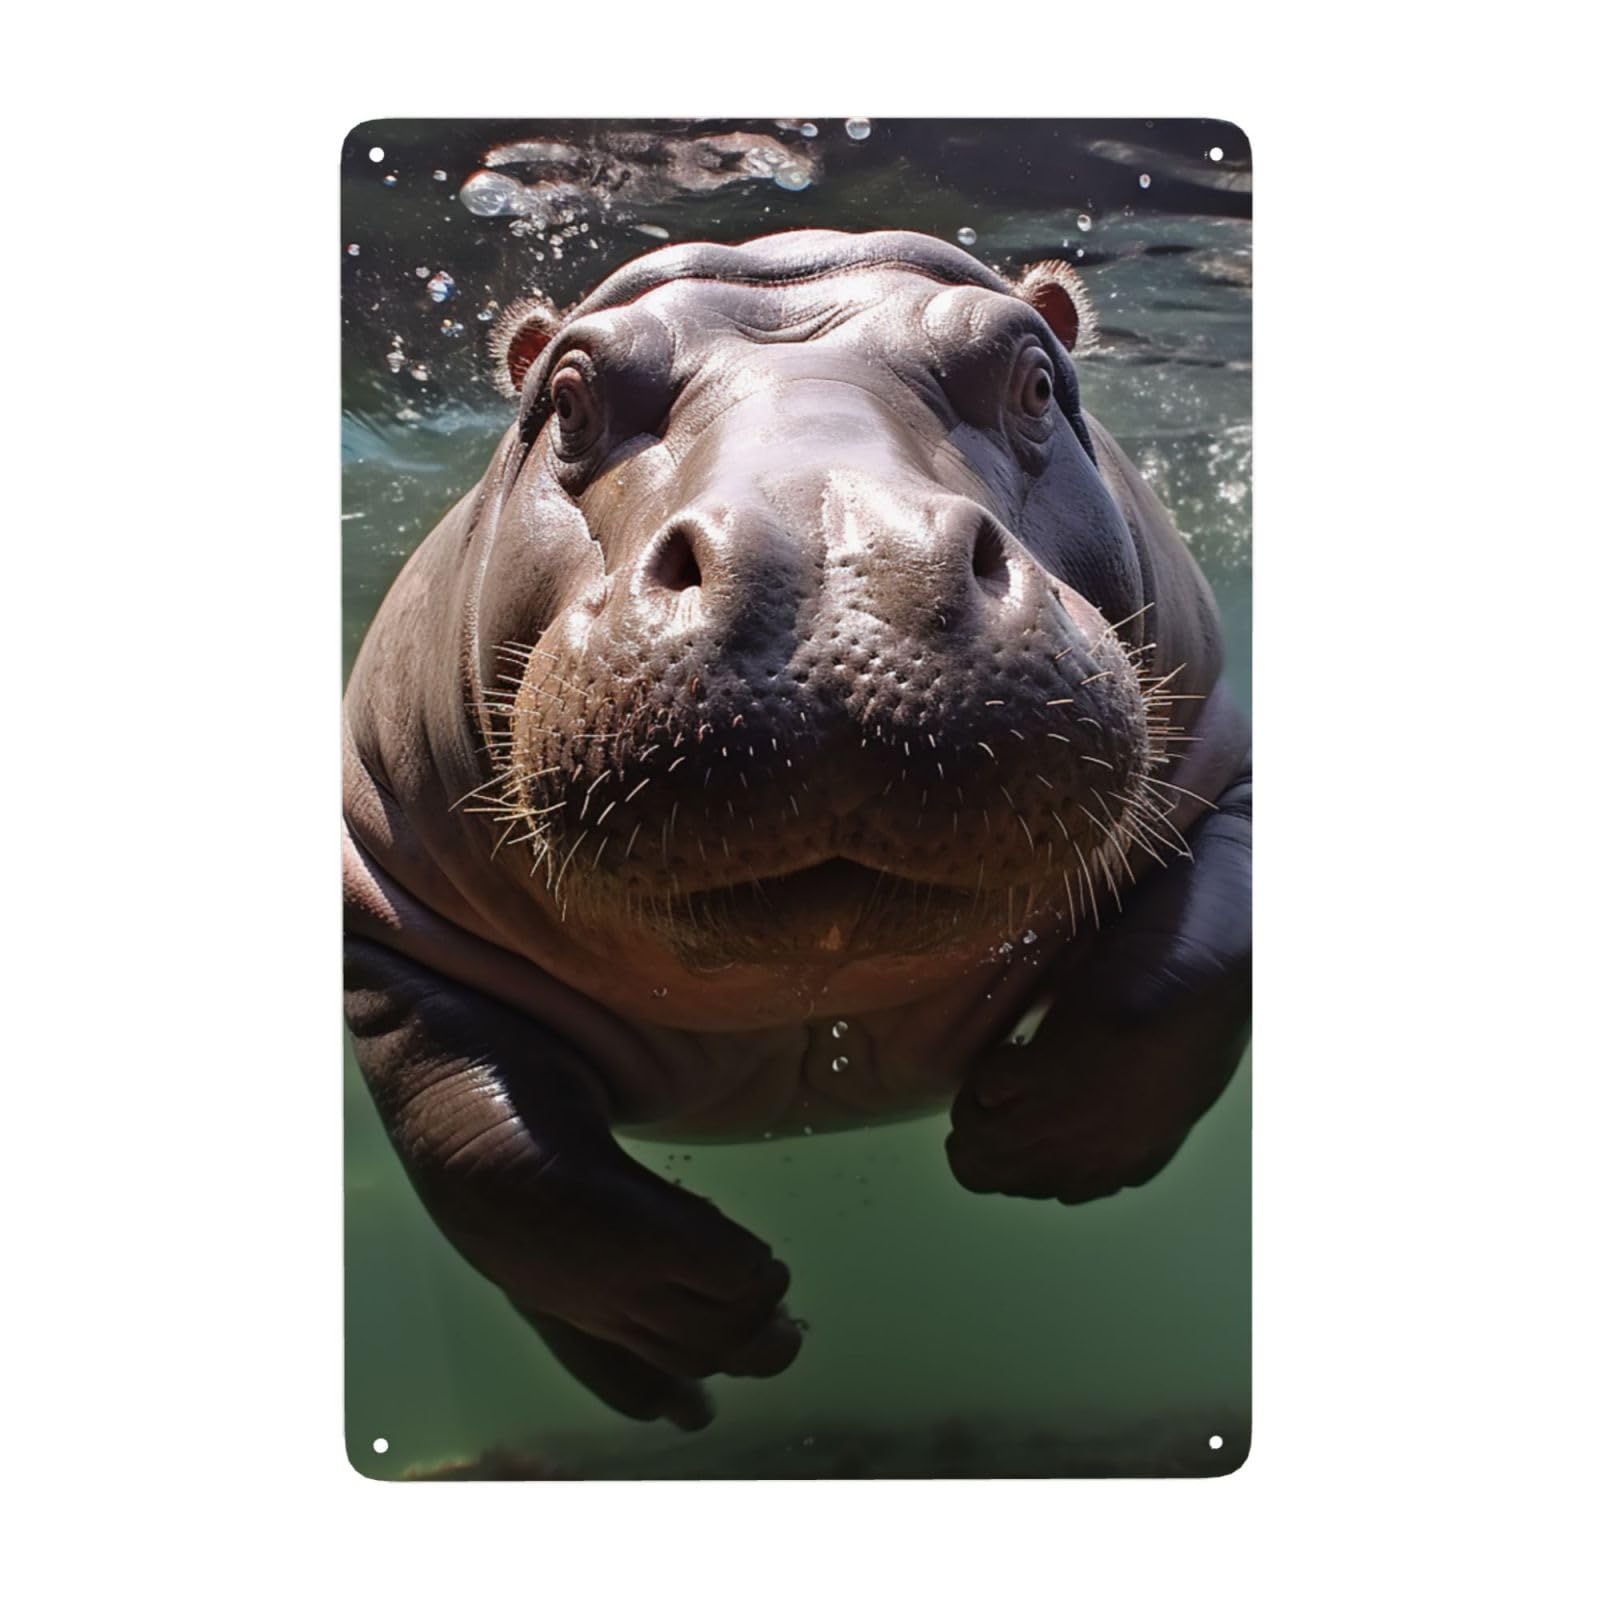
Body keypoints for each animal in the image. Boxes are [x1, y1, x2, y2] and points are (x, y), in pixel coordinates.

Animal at [343, 229, 1251, 1430]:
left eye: (1033, 379)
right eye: (570, 398)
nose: (826, 555)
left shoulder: (1227, 775)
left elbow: (1191, 971)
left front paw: (1032, 1141)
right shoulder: (381, 900)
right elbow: (482, 1141)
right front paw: (712, 1307)